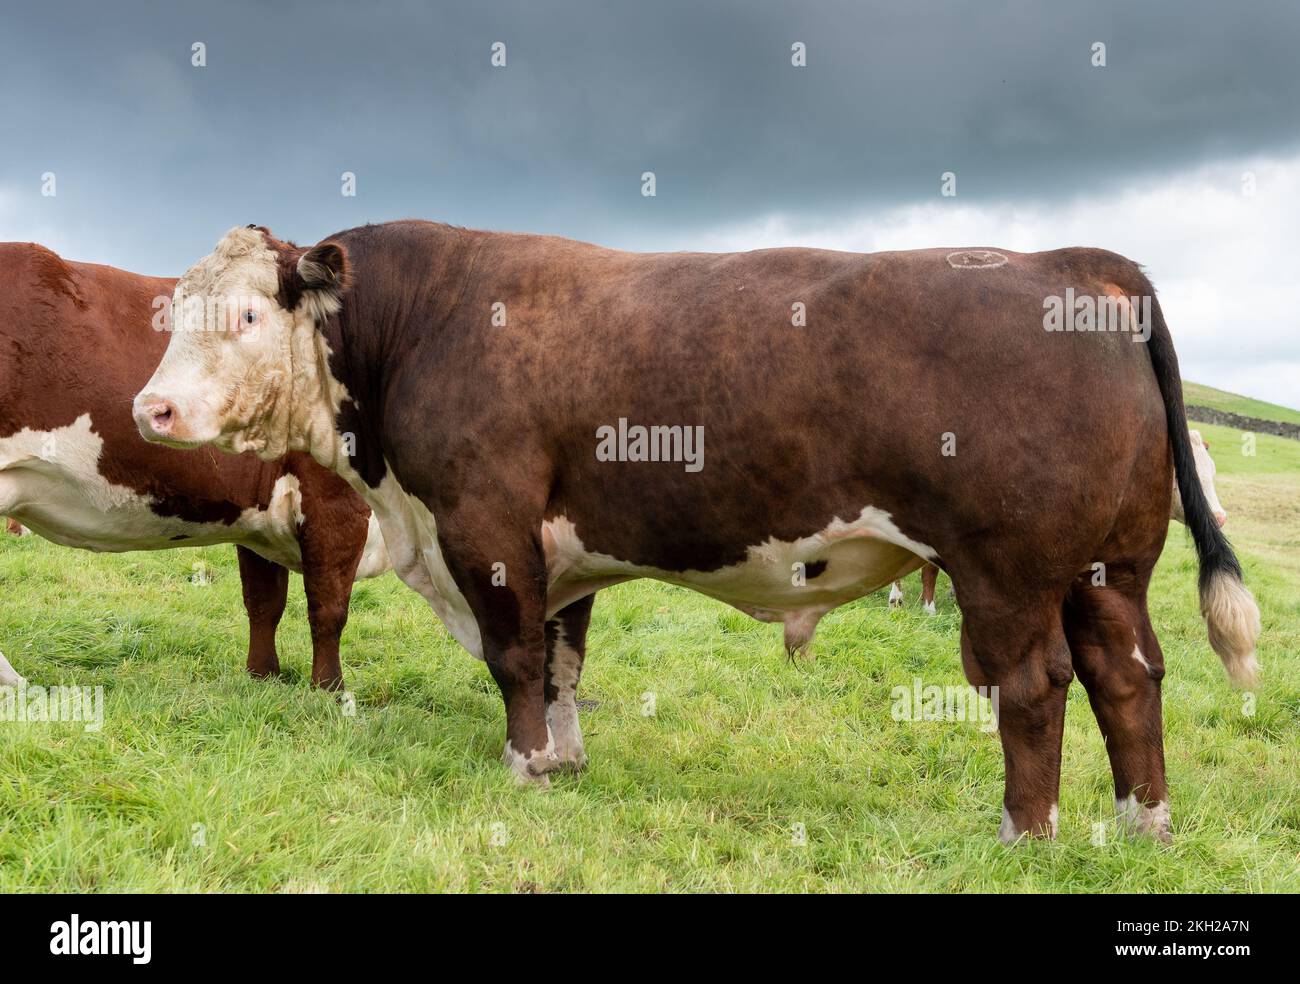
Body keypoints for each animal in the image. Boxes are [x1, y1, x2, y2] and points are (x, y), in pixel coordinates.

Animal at [0, 243, 390, 690]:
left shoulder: (259, 513)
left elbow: (264, 603)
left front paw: (262, 678)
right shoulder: (336, 504)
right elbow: (327, 608)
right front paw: (329, 690)